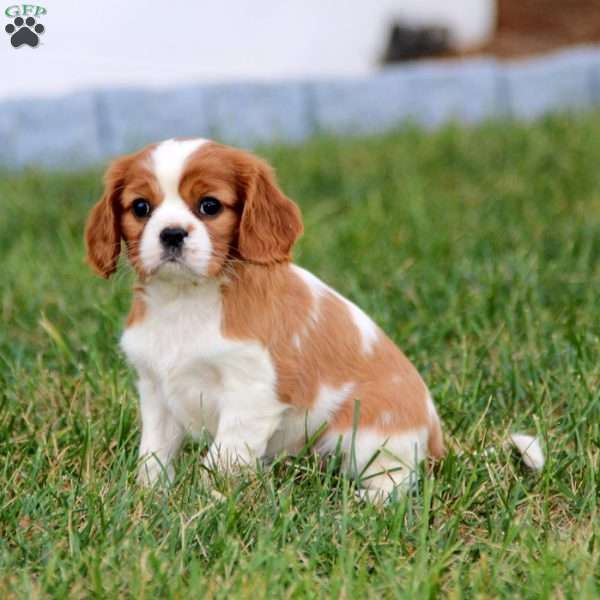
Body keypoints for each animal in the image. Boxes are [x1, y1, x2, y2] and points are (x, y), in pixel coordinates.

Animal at [84, 138, 536, 500]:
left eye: (209, 206)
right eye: (141, 208)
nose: (172, 234)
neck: (185, 300)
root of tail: (435, 437)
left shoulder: (250, 393)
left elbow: (224, 456)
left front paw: (209, 502)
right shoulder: (156, 390)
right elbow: (155, 452)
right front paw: (149, 495)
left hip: (365, 434)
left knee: (399, 480)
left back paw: (366, 500)